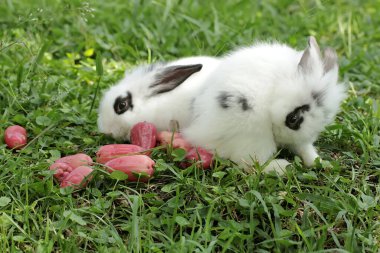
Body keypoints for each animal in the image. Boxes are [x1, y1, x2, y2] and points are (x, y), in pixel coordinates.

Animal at [183, 36, 346, 174]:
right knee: (251, 165)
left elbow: (304, 148)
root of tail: (198, 133)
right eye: (292, 119)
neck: (277, 86)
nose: (284, 138)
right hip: (253, 135)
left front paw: (320, 162)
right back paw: (283, 167)